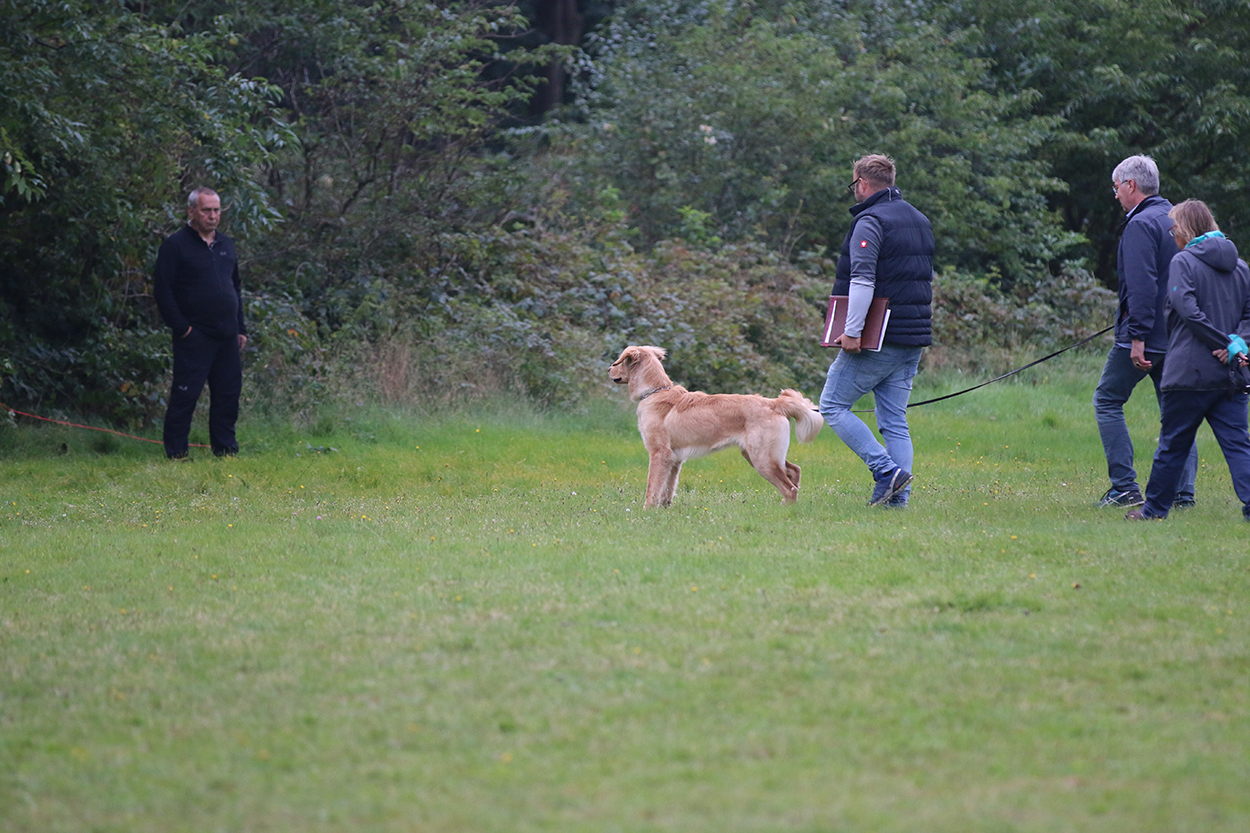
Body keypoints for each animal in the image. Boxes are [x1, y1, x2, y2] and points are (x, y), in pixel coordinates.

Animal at [609, 345, 822, 507]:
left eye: (618, 361)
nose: (608, 369)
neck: (655, 391)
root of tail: (775, 403)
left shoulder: (659, 454)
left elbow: (652, 488)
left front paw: (647, 511)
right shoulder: (674, 459)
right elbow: (667, 490)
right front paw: (664, 509)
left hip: (762, 459)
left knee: (789, 488)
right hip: (762, 455)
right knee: (794, 471)